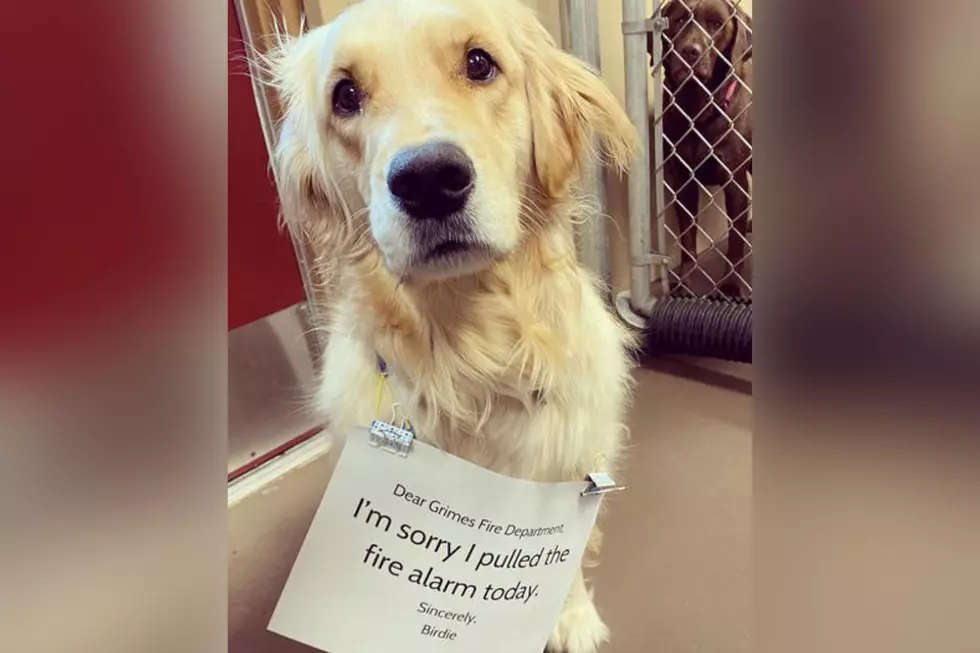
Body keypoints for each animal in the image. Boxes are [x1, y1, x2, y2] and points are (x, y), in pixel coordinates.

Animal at [264, 1, 640, 648]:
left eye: (479, 62)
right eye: (345, 95)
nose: (427, 179)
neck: (470, 360)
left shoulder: (568, 466)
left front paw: (571, 617)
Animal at [648, 0, 756, 296]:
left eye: (716, 24)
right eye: (679, 19)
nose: (689, 51)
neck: (697, 110)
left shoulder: (736, 185)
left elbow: (735, 243)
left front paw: (730, 286)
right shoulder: (682, 182)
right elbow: (687, 238)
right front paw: (685, 281)